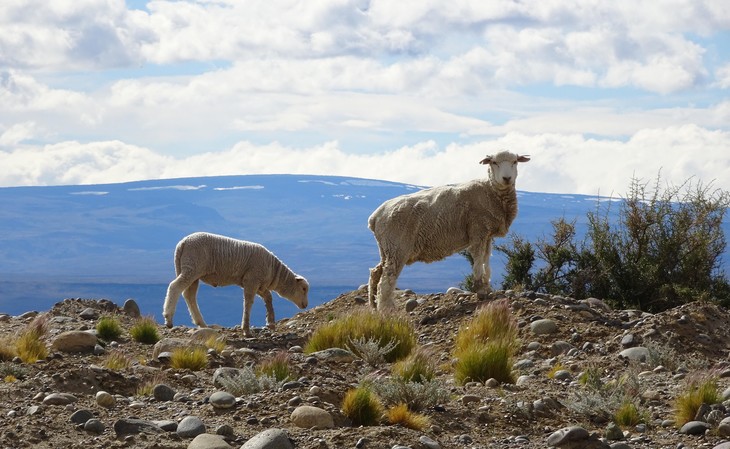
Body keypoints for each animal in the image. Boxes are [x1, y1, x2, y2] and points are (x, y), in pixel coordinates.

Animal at [162, 233, 308, 334]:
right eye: (304, 288)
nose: (306, 305)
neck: (273, 271)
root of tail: (183, 243)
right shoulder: (252, 280)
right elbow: (248, 303)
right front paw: (246, 329)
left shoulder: (258, 284)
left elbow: (268, 297)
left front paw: (270, 322)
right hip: (192, 267)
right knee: (175, 287)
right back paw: (168, 319)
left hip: (191, 271)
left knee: (189, 295)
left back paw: (201, 323)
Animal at [366, 149, 528, 310]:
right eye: (494, 162)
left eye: (515, 161)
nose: (506, 178)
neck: (490, 191)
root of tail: (375, 217)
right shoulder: (477, 229)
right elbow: (478, 258)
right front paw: (480, 289)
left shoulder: (487, 234)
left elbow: (486, 260)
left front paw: (487, 287)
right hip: (397, 246)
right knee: (386, 279)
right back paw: (387, 310)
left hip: (387, 248)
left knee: (376, 273)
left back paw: (373, 305)